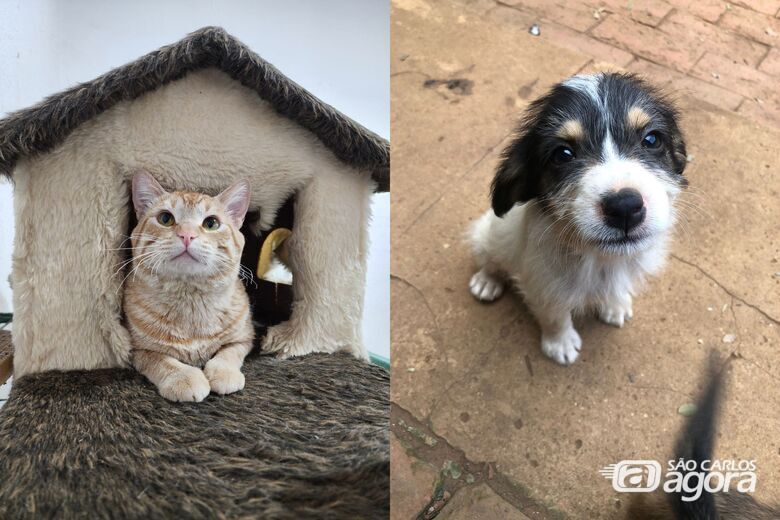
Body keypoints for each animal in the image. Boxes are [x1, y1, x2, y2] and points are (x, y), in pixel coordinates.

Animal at [123, 171, 253, 402]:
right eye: (165, 218)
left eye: (211, 223)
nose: (187, 235)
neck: (190, 300)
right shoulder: (138, 351)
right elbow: (163, 361)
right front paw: (183, 378)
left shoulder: (245, 338)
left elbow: (228, 353)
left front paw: (224, 373)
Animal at [466, 73, 684, 366]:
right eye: (563, 154)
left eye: (651, 140)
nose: (625, 207)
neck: (601, 260)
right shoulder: (543, 285)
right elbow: (554, 316)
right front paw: (561, 344)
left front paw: (615, 305)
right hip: (488, 233)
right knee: (489, 258)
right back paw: (487, 282)